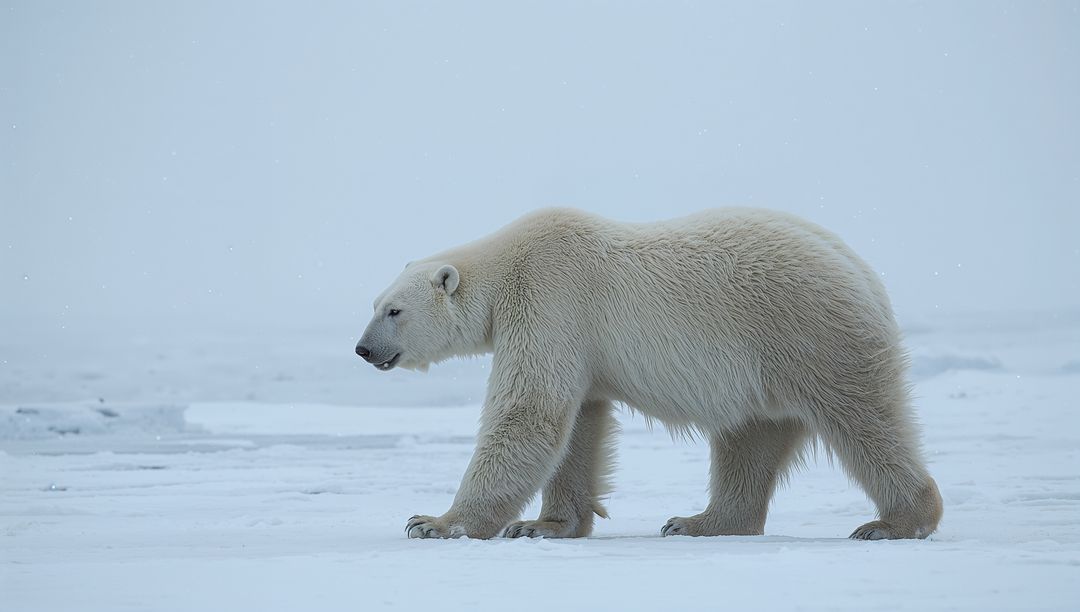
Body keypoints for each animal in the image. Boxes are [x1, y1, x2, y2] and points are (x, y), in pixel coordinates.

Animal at [355, 207, 943, 541]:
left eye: (394, 311)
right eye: (376, 303)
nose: (362, 349)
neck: (508, 265)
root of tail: (865, 275)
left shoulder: (549, 303)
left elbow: (530, 413)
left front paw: (433, 523)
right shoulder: (578, 343)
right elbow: (579, 424)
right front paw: (542, 525)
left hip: (811, 333)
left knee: (866, 420)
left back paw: (893, 523)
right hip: (764, 373)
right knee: (749, 439)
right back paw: (698, 521)